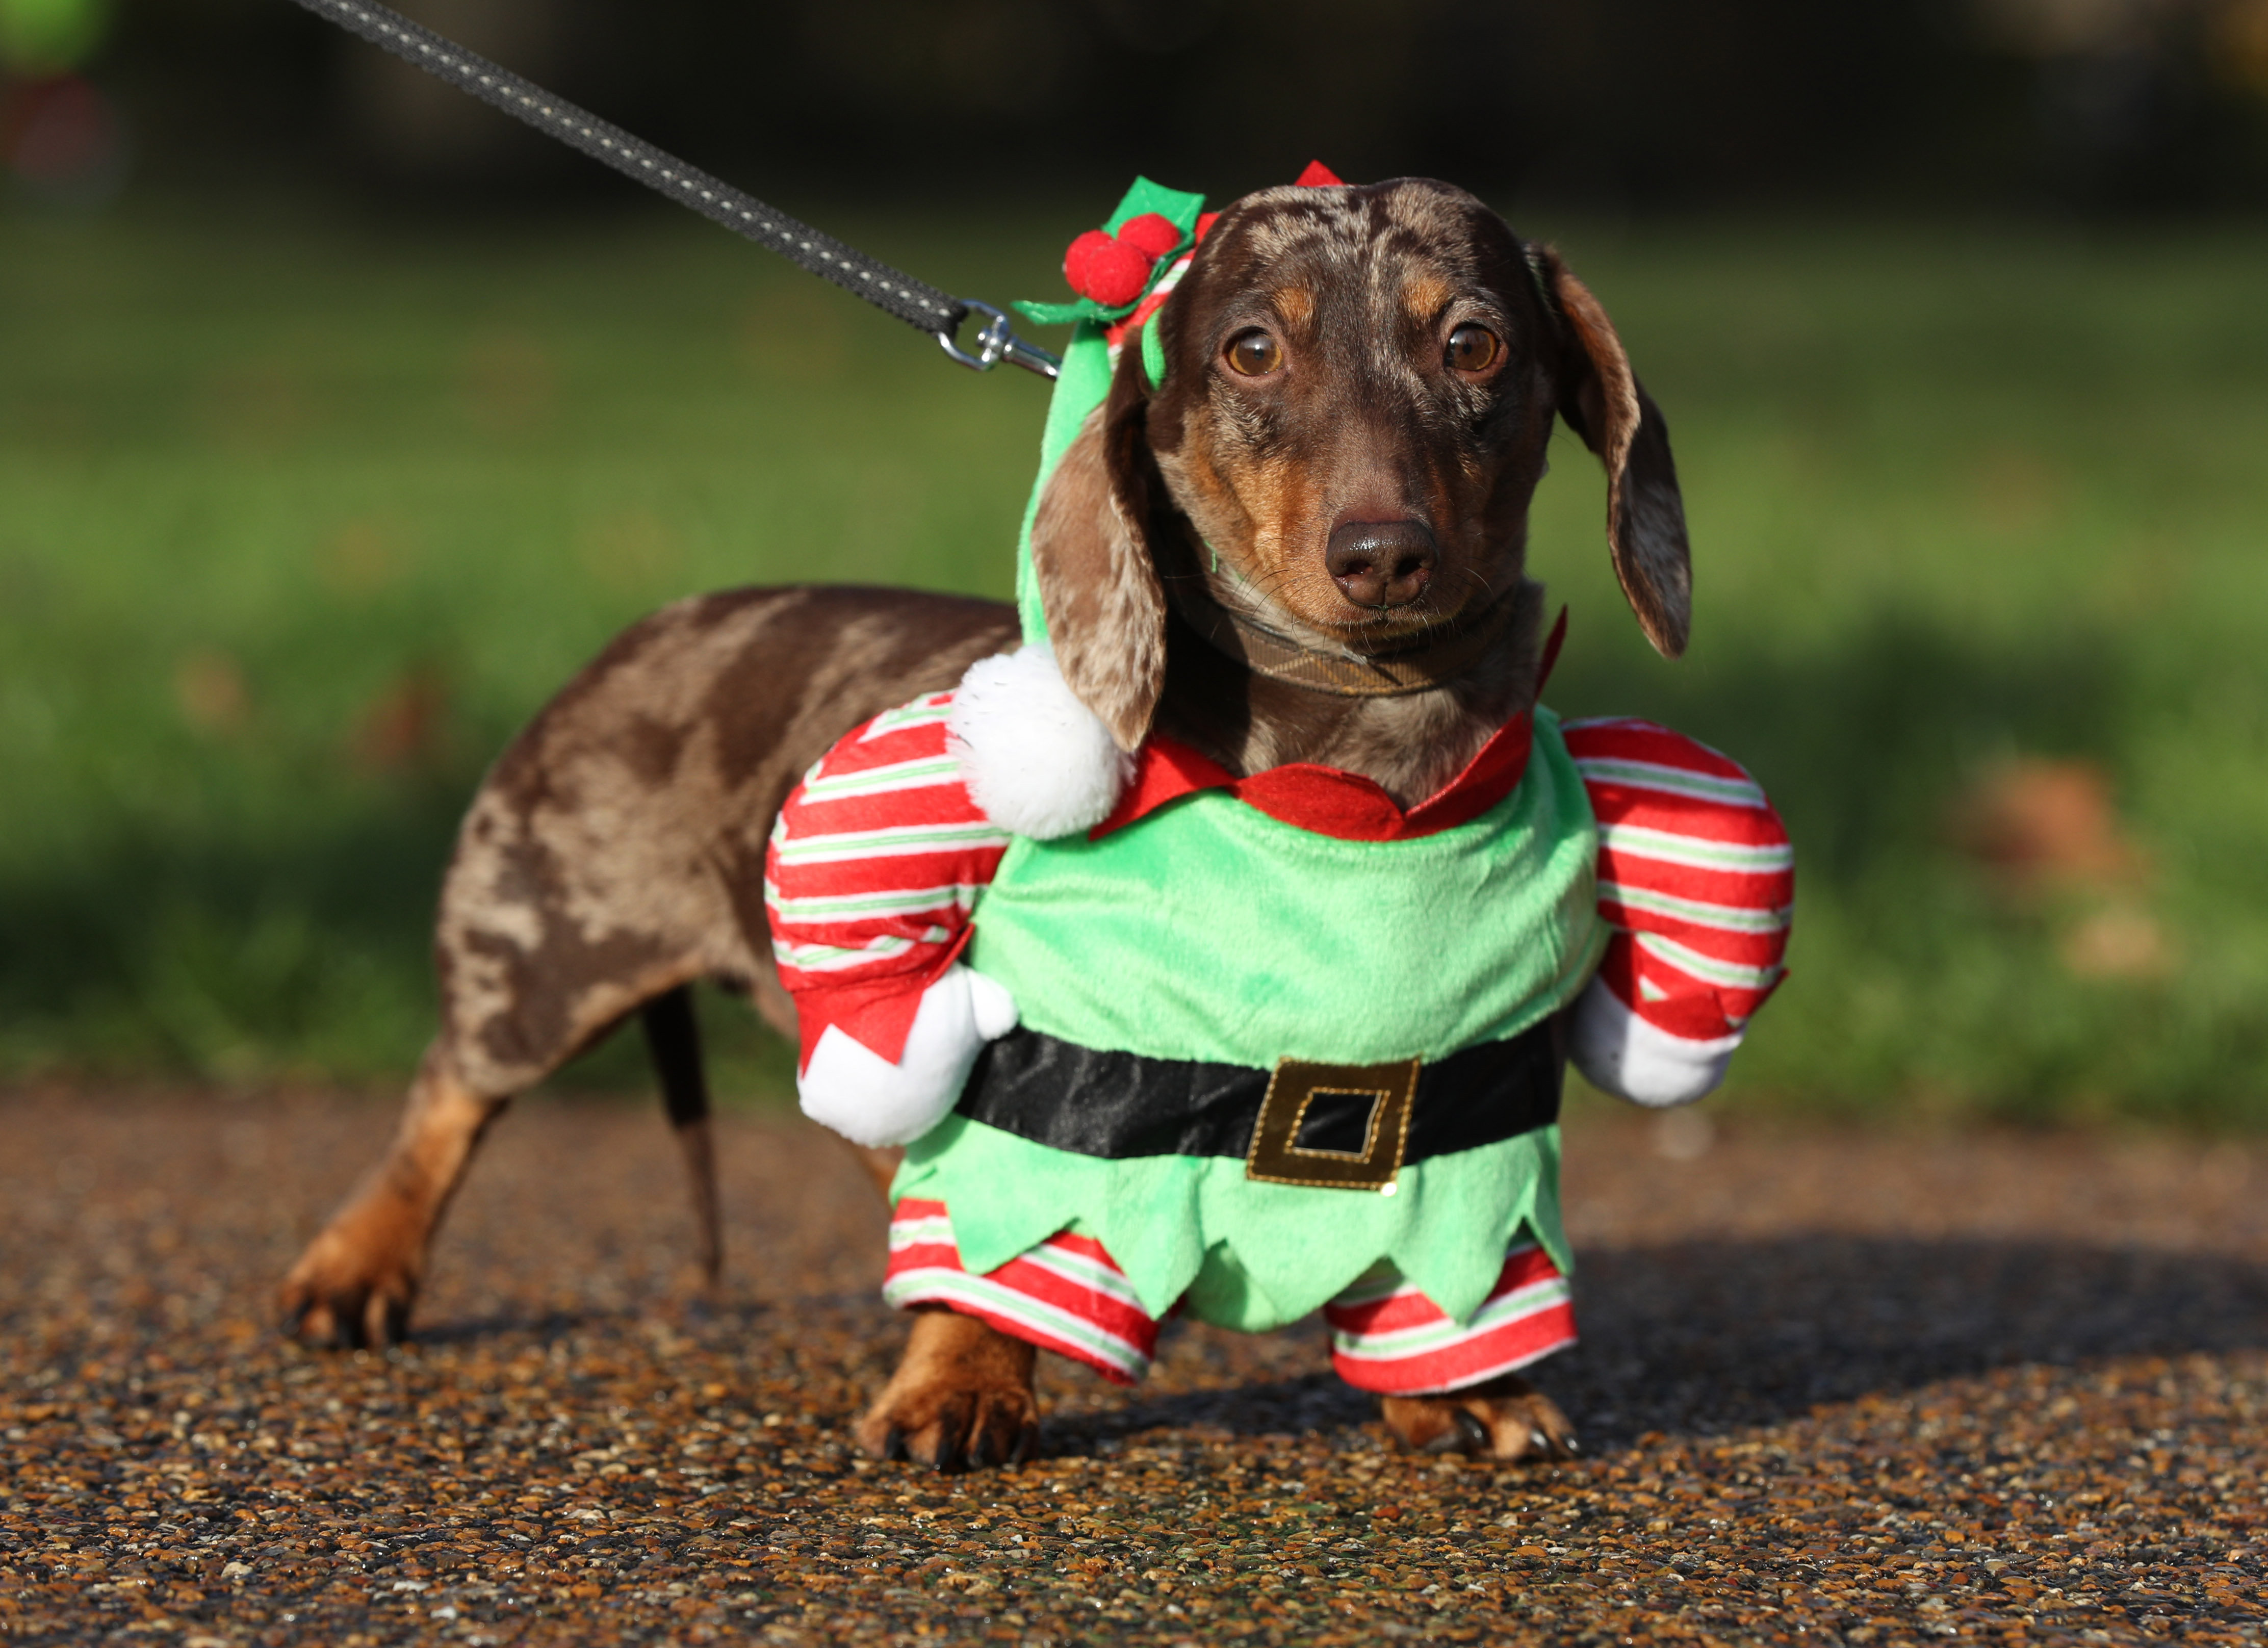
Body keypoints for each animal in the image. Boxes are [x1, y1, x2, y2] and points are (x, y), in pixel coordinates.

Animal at [279, 176, 1687, 1469]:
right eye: (1250, 349)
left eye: (1473, 342)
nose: (1381, 552)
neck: (1351, 780)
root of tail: (636, 632)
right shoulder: (1045, 1083)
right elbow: (992, 1248)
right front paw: (957, 1383)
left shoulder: (1461, 1112)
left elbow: (1444, 1278)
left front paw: (1469, 1393)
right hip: (538, 956)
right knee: (448, 1094)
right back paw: (355, 1264)